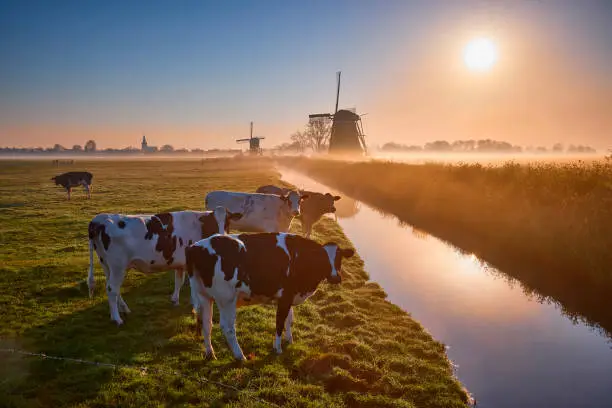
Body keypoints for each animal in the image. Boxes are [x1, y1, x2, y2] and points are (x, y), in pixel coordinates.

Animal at [88, 207, 241, 326]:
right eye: (212, 222)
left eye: (227, 222)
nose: (221, 235)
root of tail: (100, 219)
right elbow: (193, 287)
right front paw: (196, 307)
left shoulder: (181, 264)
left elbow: (179, 281)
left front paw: (175, 300)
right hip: (117, 265)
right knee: (112, 289)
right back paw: (117, 319)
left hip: (106, 264)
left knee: (113, 288)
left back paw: (124, 309)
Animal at [184, 233, 354, 360]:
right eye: (323, 258)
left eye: (339, 258)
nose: (336, 277)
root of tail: (195, 247)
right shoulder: (285, 297)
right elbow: (279, 323)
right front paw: (277, 348)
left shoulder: (289, 297)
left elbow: (289, 319)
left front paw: (290, 340)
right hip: (227, 299)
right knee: (227, 327)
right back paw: (240, 356)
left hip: (204, 296)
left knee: (207, 324)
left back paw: (210, 353)